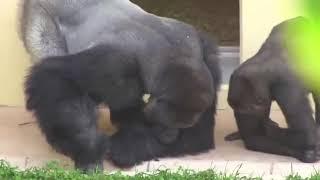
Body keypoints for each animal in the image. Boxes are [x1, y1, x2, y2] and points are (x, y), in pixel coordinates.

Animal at [19, 0, 220, 172]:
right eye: (163, 123)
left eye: (181, 127)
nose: (169, 137)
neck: (172, 55)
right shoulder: (113, 61)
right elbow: (55, 77)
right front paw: (90, 152)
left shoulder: (207, 56)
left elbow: (198, 137)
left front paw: (127, 148)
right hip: (40, 16)